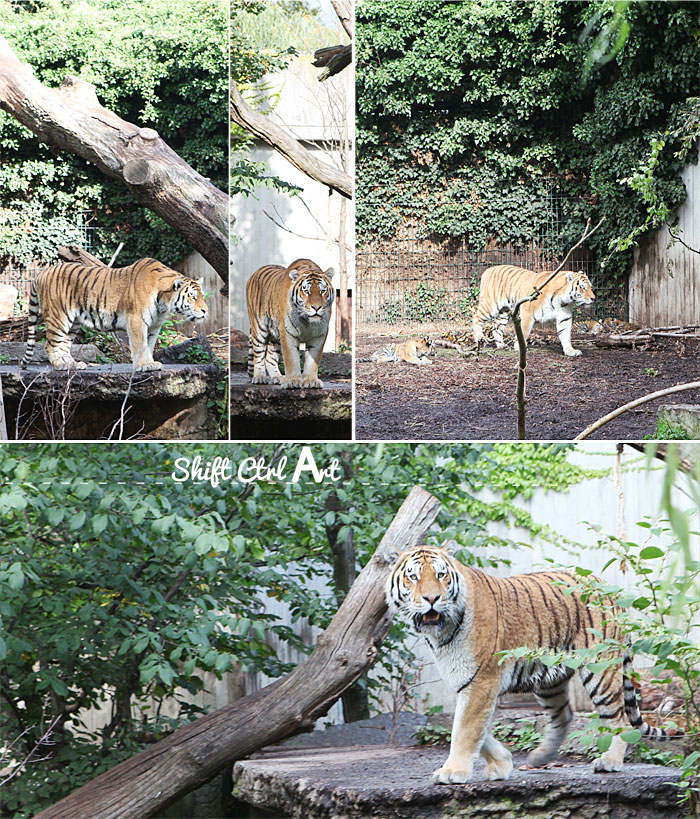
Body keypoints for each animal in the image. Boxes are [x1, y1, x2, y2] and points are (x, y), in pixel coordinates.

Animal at [21, 260, 208, 372]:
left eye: (202, 296)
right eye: (193, 297)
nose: (205, 310)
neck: (164, 302)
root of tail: (42, 272)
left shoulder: (155, 326)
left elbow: (149, 344)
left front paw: (150, 363)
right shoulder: (137, 320)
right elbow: (140, 344)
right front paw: (144, 365)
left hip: (73, 323)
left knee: (63, 344)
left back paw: (72, 364)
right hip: (59, 317)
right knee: (50, 344)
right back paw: (60, 365)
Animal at [246, 262, 334, 392]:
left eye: (323, 291)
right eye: (306, 291)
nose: (316, 307)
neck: (307, 321)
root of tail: (256, 271)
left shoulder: (319, 335)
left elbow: (312, 360)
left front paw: (311, 381)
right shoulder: (287, 333)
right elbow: (291, 359)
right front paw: (292, 382)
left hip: (275, 336)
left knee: (270, 356)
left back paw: (278, 377)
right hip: (259, 328)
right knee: (259, 353)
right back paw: (260, 377)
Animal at [382, 540, 680, 784]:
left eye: (441, 574)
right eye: (413, 577)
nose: (432, 599)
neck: (439, 632)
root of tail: (608, 588)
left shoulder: (481, 680)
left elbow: (465, 730)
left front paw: (453, 772)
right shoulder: (467, 682)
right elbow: (476, 728)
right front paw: (502, 764)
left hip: (600, 670)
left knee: (618, 719)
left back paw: (609, 761)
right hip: (548, 678)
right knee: (564, 715)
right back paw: (540, 758)